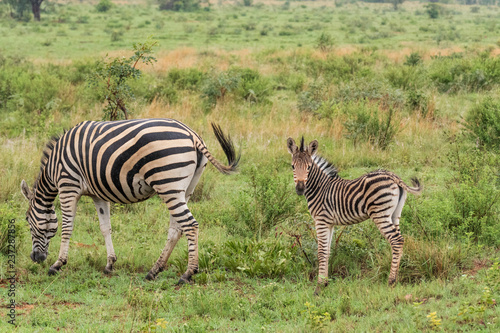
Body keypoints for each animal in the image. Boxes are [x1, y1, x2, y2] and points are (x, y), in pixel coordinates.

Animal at [19, 117, 238, 282]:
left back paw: (188, 273)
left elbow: (67, 228)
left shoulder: (68, 186)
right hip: (185, 188)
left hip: (168, 184)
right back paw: (154, 270)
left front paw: (57, 264)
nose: (35, 258)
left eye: (28, 221)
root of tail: (192, 134)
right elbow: (105, 228)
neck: (53, 168)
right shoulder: (97, 194)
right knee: (177, 228)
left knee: (190, 225)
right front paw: (109, 263)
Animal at [288, 137, 420, 294]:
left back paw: (391, 281)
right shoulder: (330, 223)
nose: (300, 189)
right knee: (400, 240)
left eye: (308, 167)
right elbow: (327, 251)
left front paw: (319, 286)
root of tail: (393, 176)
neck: (320, 188)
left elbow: (321, 252)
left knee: (396, 240)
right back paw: (396, 278)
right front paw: (325, 282)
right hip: (394, 215)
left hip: (380, 214)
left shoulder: (321, 220)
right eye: (292, 167)